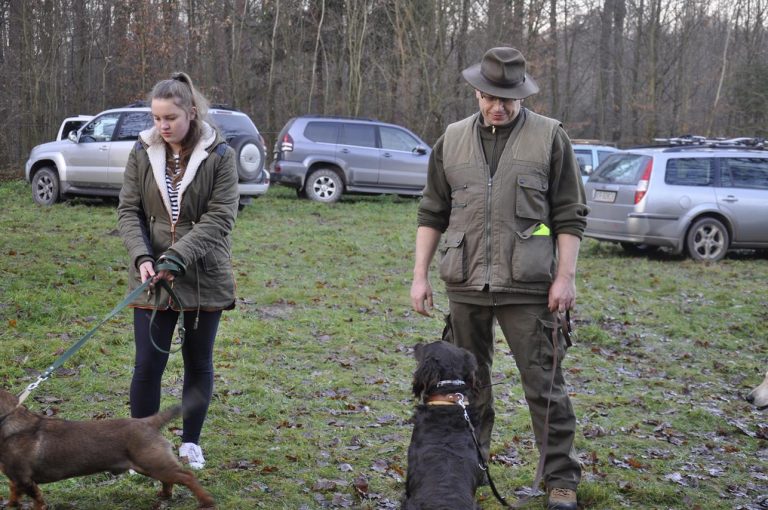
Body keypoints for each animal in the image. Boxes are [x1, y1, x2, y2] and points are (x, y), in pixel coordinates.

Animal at [0, 388, 214, 508]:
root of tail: (148, 422)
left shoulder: (25, 480)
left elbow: (37, 501)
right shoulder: (15, 481)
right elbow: (13, 496)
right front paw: (10, 505)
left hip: (155, 464)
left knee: (187, 477)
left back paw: (206, 502)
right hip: (152, 466)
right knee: (169, 481)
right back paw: (165, 495)